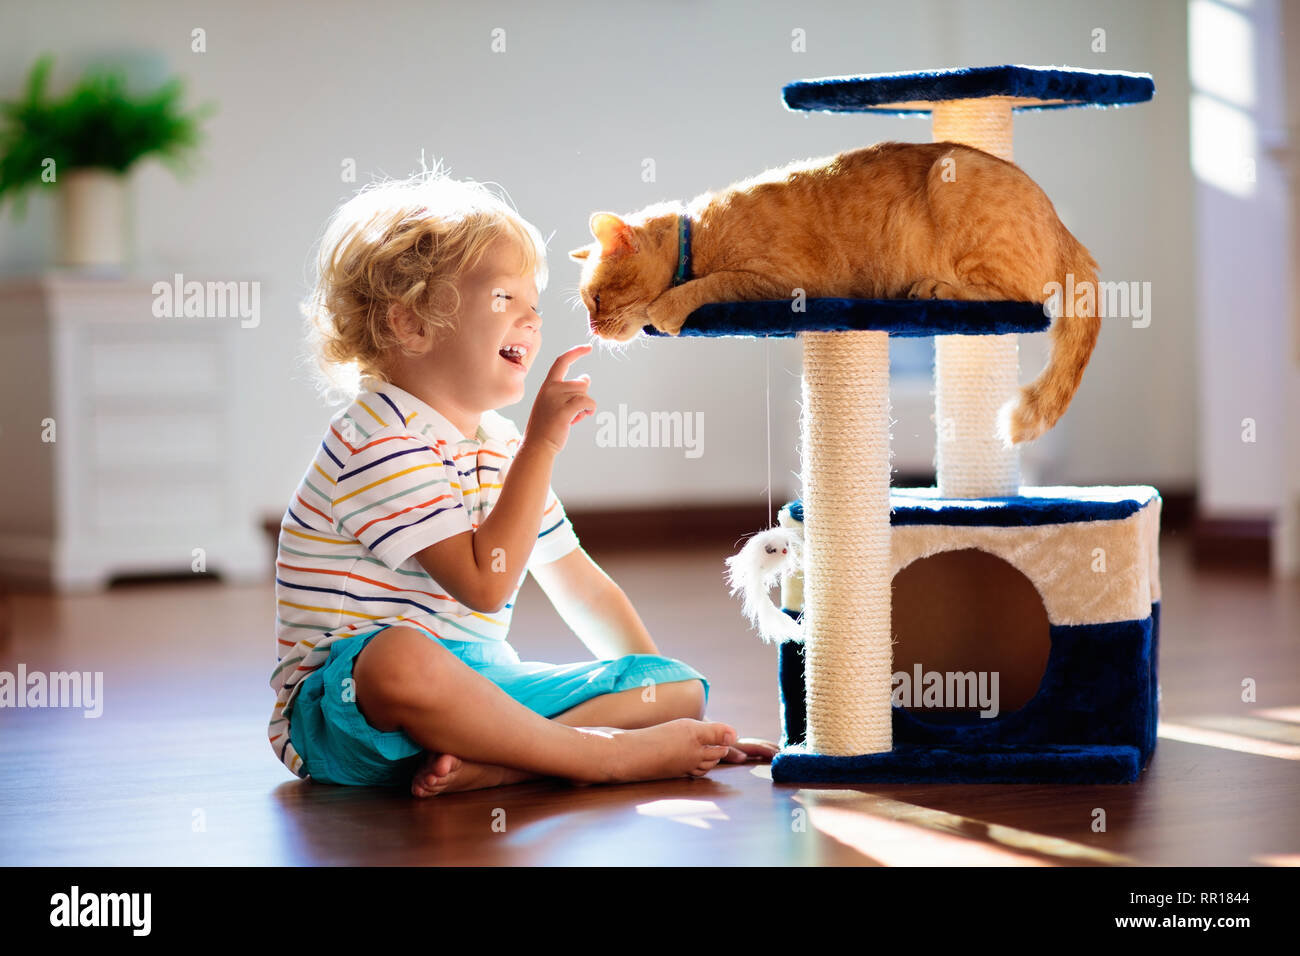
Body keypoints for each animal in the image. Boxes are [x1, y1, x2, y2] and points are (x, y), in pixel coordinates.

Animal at [569, 140, 1097, 447]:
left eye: (595, 299)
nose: (592, 327)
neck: (696, 235)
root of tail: (1064, 227)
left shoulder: (776, 280)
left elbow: (707, 284)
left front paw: (668, 307)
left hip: (958, 181)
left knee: (1019, 298)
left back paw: (933, 287)